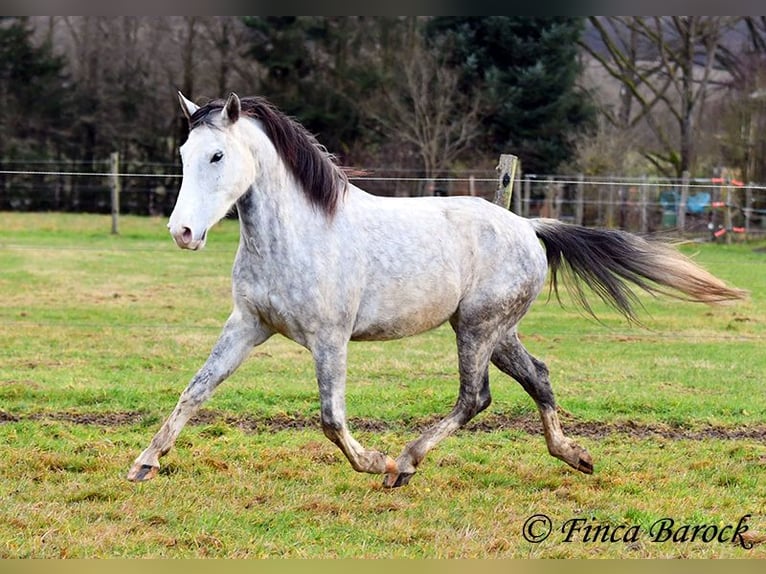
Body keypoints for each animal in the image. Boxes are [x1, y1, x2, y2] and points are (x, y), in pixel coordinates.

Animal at [129, 94, 748, 490]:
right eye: (184, 156)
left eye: (218, 156)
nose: (183, 233)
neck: (298, 233)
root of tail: (529, 227)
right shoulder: (247, 326)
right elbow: (195, 391)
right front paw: (145, 463)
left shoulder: (330, 339)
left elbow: (331, 419)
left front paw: (375, 462)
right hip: (495, 332)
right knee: (539, 377)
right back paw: (574, 456)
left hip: (477, 329)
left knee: (475, 398)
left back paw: (405, 464)